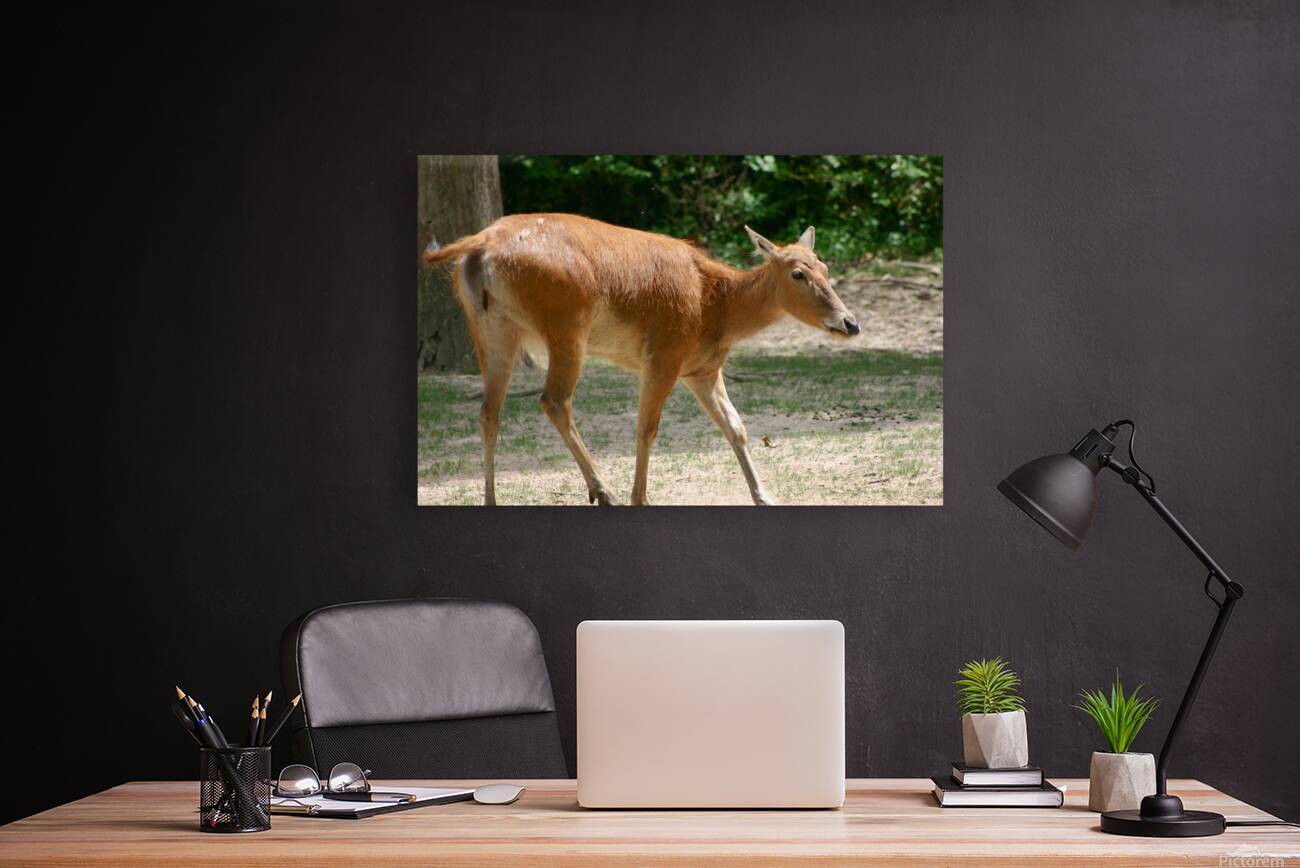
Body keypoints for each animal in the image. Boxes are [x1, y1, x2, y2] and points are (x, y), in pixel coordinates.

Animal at [422, 213, 860, 505]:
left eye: (825, 266)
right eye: (798, 273)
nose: (850, 323)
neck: (716, 310)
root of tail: (477, 247)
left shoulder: (702, 369)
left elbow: (736, 427)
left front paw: (765, 496)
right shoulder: (664, 354)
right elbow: (646, 429)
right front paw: (641, 498)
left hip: (492, 329)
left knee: (488, 410)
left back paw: (492, 499)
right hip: (565, 325)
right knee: (553, 399)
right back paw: (604, 492)